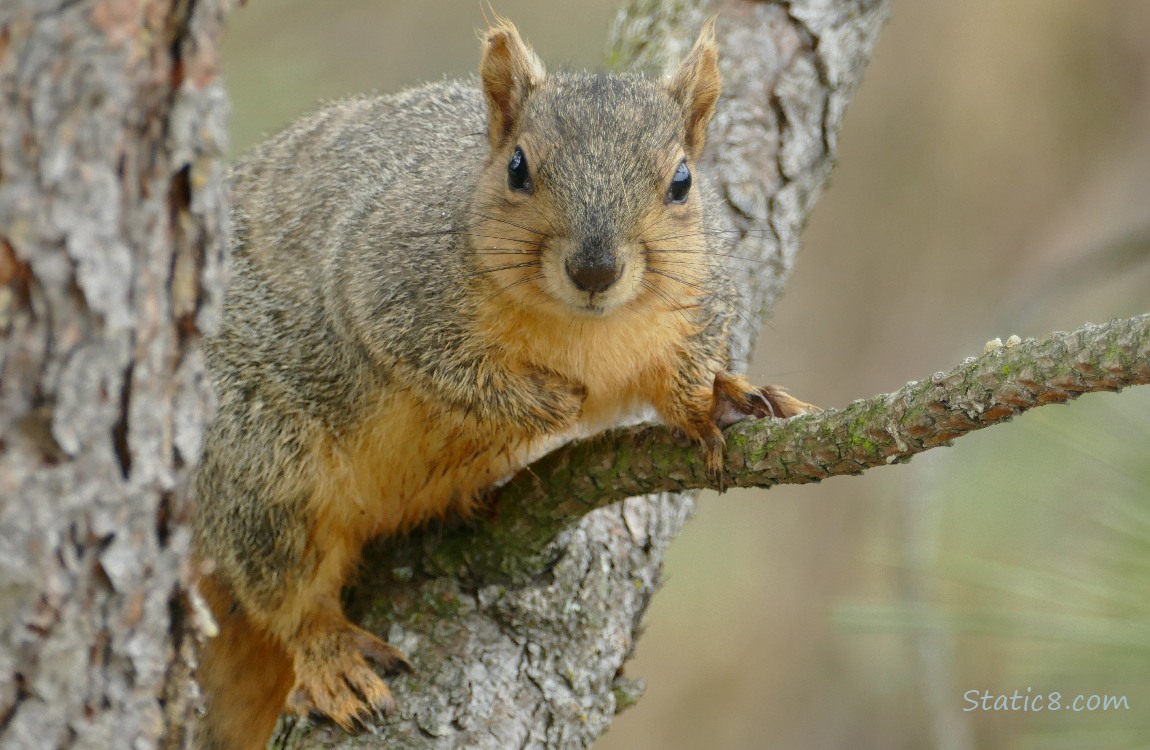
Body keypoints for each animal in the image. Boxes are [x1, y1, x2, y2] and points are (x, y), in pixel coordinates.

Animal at [192, 18, 813, 750]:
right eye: (518, 168)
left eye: (683, 182)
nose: (595, 270)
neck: (580, 331)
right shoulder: (386, 281)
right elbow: (434, 363)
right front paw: (548, 403)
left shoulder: (698, 301)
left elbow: (681, 376)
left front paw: (716, 399)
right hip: (258, 457)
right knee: (284, 588)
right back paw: (330, 656)